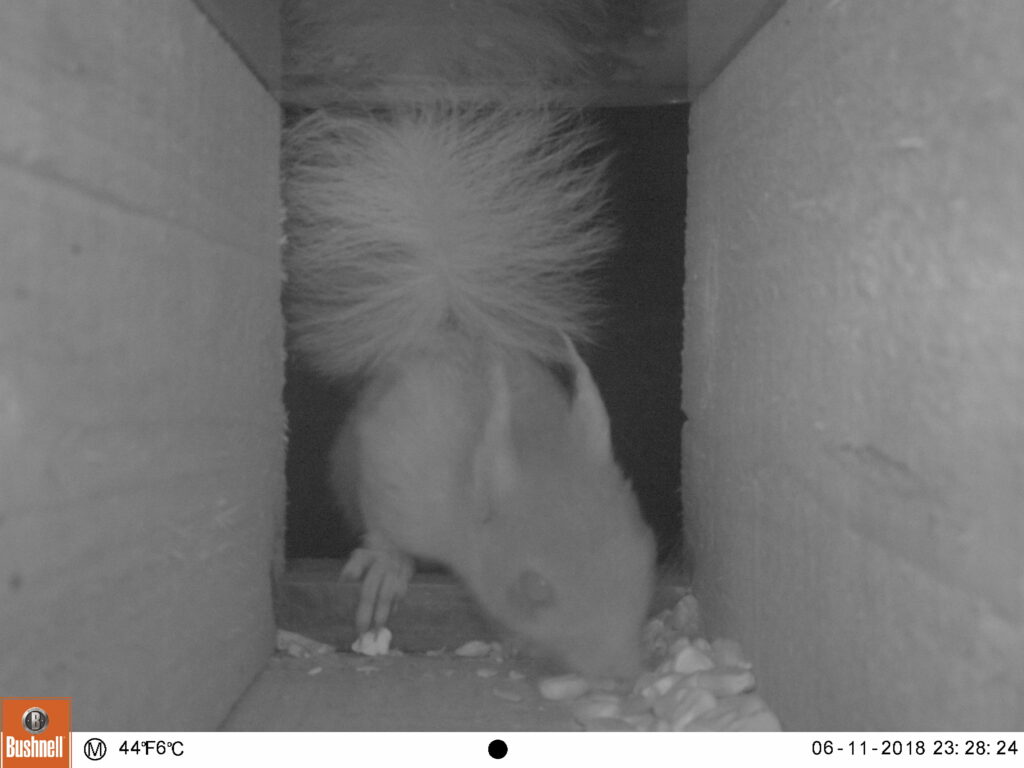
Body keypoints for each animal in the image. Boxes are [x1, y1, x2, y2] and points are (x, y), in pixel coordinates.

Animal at [282, 97, 655, 679]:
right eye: (533, 588)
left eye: (651, 554)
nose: (623, 674)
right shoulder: (398, 475)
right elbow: (385, 531)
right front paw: (387, 568)